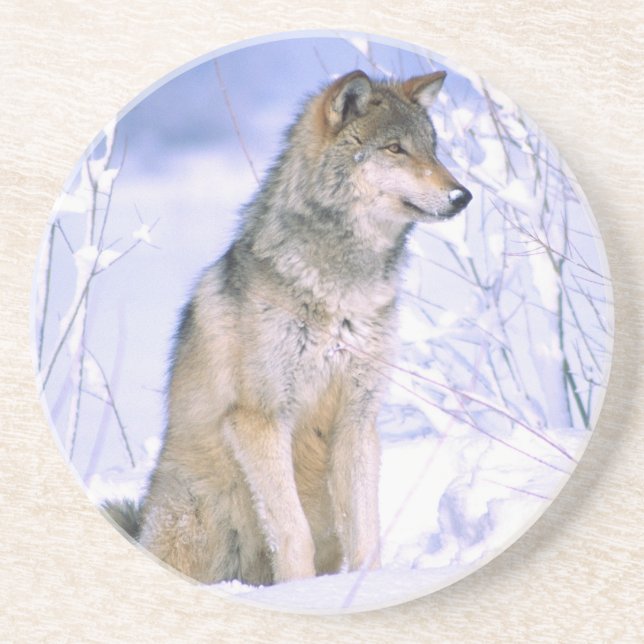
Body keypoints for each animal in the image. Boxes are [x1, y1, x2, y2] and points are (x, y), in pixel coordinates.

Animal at [107, 69, 471, 586]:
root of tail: (142, 526)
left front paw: (367, 588)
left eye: (432, 149)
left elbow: (367, 534)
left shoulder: (357, 420)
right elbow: (291, 532)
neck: (341, 292)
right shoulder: (259, 419)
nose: (463, 195)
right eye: (395, 149)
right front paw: (300, 593)